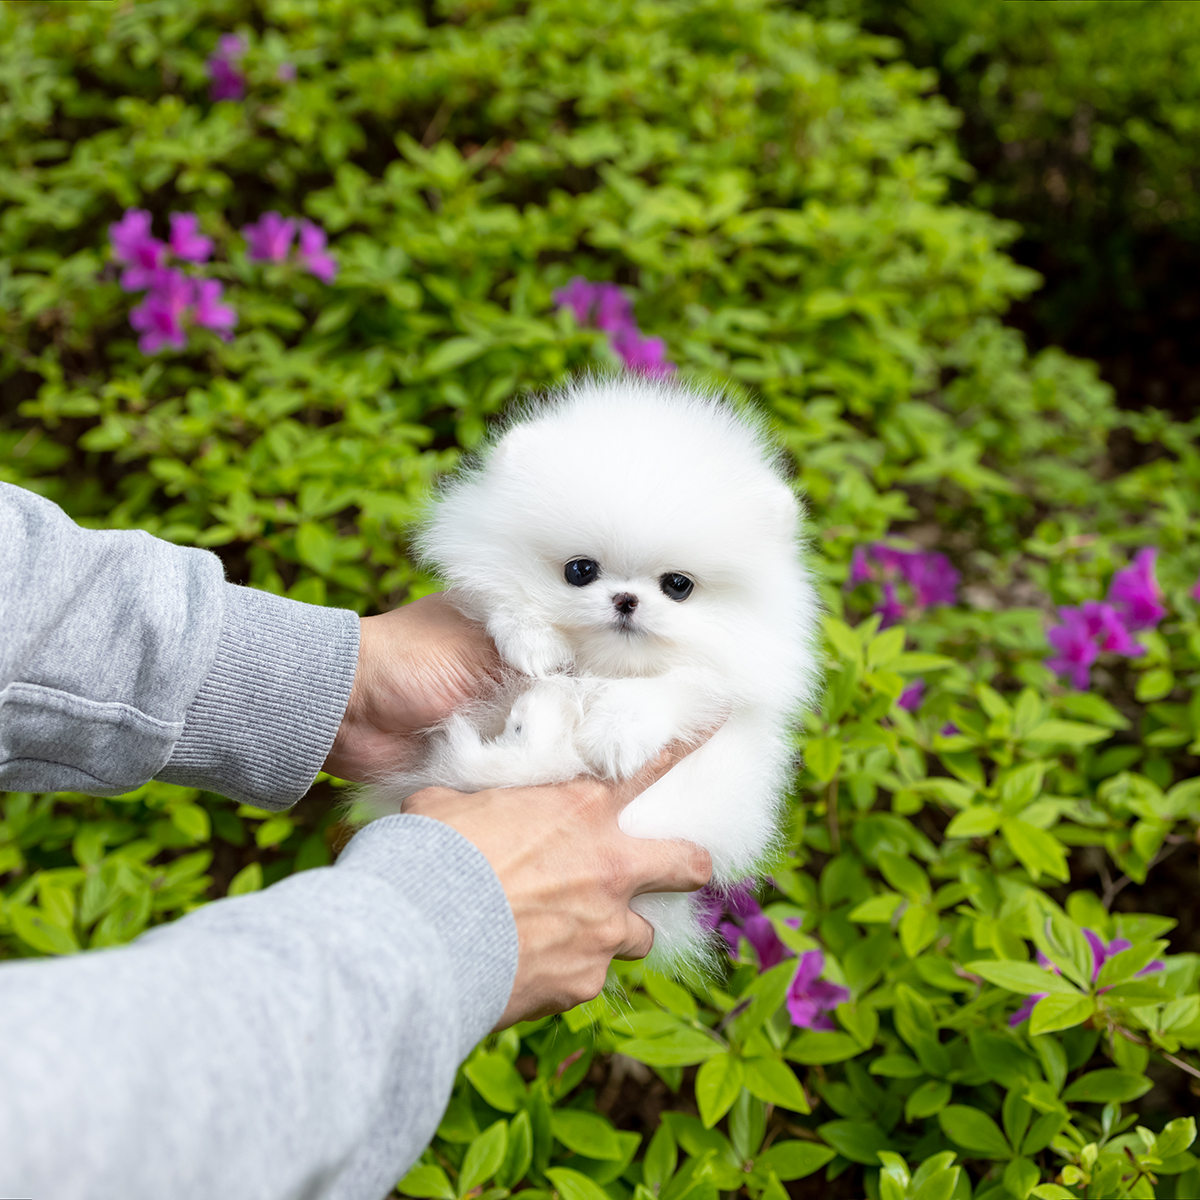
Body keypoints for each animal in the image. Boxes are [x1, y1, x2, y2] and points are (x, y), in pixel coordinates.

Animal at [367, 374, 825, 974]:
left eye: (679, 585)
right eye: (579, 570)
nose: (626, 599)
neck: (604, 666)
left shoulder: (718, 684)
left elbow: (668, 689)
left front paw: (615, 734)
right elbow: (503, 601)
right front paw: (534, 642)